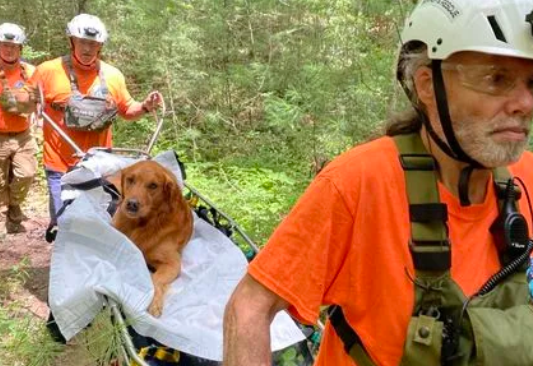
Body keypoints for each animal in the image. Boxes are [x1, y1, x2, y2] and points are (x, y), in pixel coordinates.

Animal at [112, 160, 193, 318]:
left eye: (153, 185)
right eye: (131, 179)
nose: (132, 204)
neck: (142, 224)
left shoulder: (172, 263)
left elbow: (156, 279)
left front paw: (154, 302)